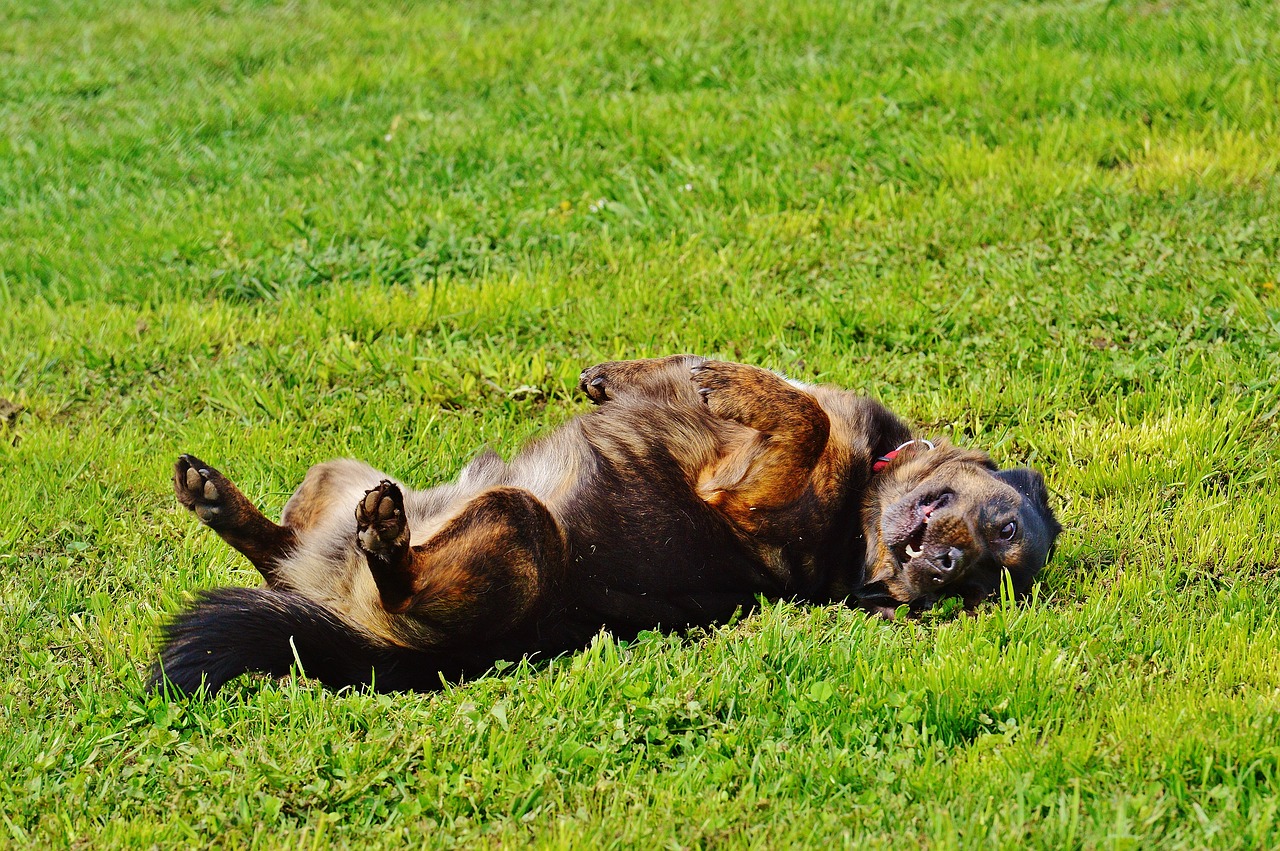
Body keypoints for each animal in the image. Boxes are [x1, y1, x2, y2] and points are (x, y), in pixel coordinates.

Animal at [154, 355, 1064, 696]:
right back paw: (220, 501)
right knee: (278, 552)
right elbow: (756, 389)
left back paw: (386, 541)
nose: (942, 568)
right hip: (333, 474)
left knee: (388, 570)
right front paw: (630, 374)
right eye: (998, 530)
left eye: (977, 588)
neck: (857, 523)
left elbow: (798, 413)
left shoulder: (745, 490)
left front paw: (722, 380)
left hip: (520, 527)